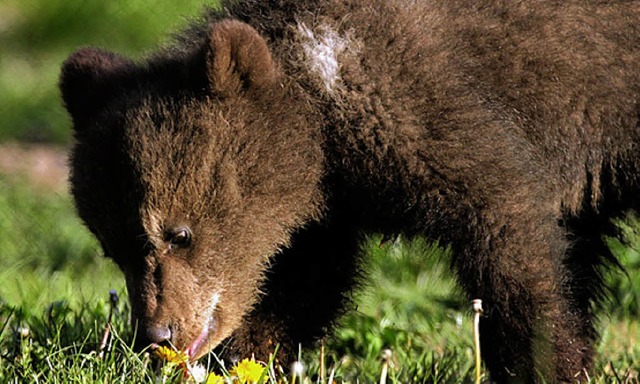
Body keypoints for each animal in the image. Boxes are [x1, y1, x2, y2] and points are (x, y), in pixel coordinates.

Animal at [60, 1, 640, 382]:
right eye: (113, 248)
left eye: (178, 233)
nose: (157, 335)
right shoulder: (326, 214)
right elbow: (300, 288)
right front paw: (251, 359)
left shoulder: (437, 113)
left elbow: (514, 243)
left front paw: (550, 363)